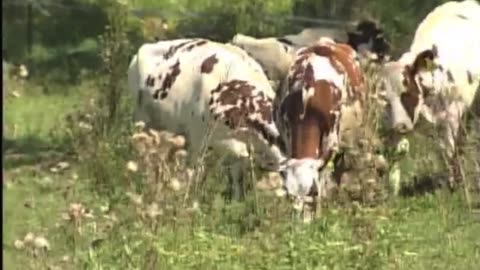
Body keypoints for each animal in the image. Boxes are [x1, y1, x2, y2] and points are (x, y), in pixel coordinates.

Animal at [378, 0, 480, 190]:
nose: (401, 126)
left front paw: (453, 185)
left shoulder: (454, 114)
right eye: (386, 99)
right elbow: (397, 152)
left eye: (408, 92)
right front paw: (393, 187)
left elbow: (449, 150)